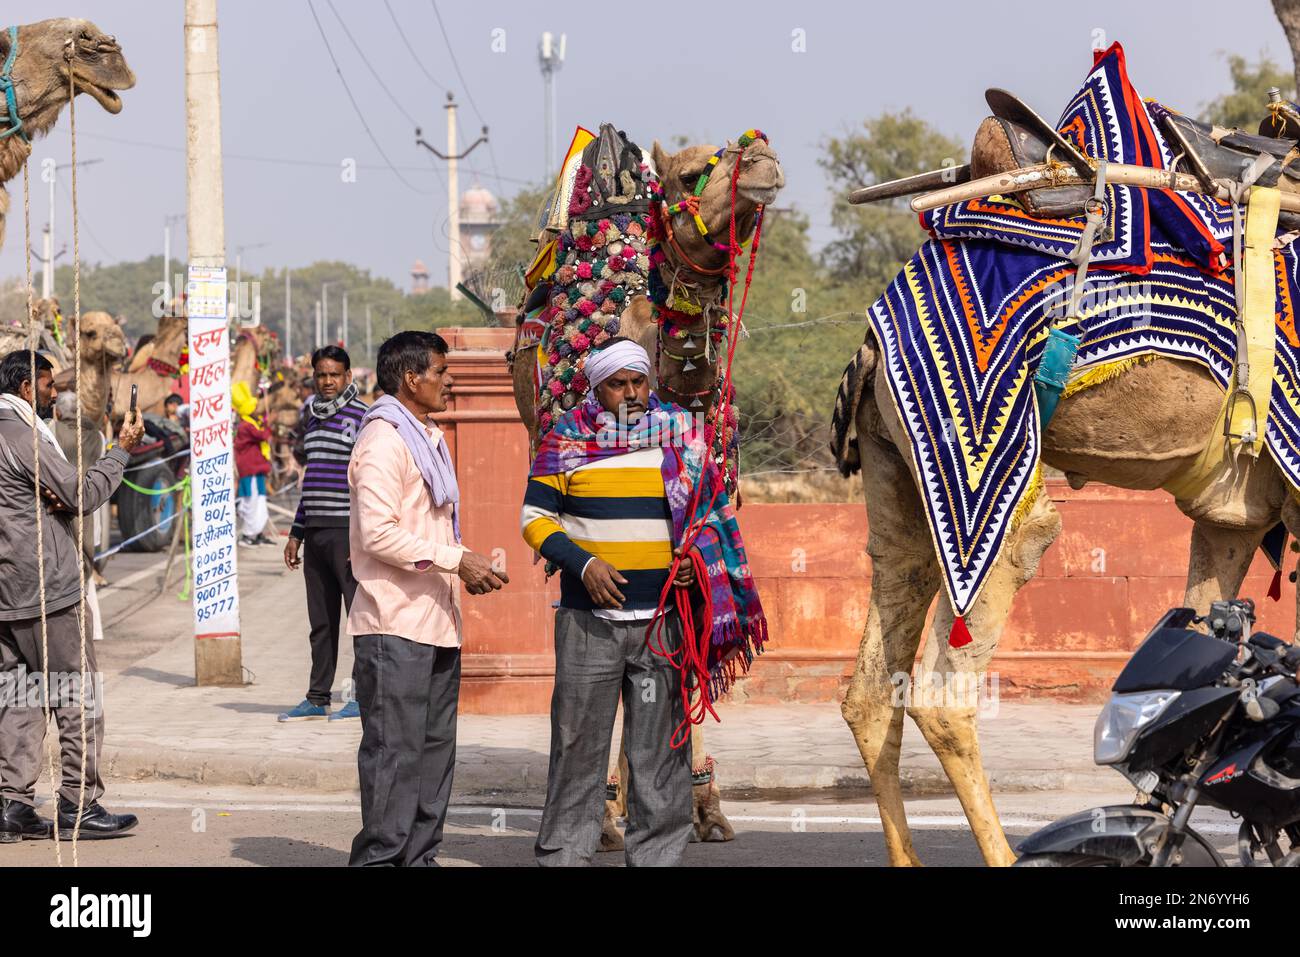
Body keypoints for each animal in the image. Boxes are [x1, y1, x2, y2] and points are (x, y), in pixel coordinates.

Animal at [509, 125, 780, 842]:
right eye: (688, 175)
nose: (764, 160)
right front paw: (606, 812)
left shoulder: (704, 505)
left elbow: (689, 625)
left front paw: (701, 804)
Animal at [832, 42, 1300, 868]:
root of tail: (871, 341)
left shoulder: (1234, 515)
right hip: (988, 468)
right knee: (946, 689)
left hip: (896, 472)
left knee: (872, 681)